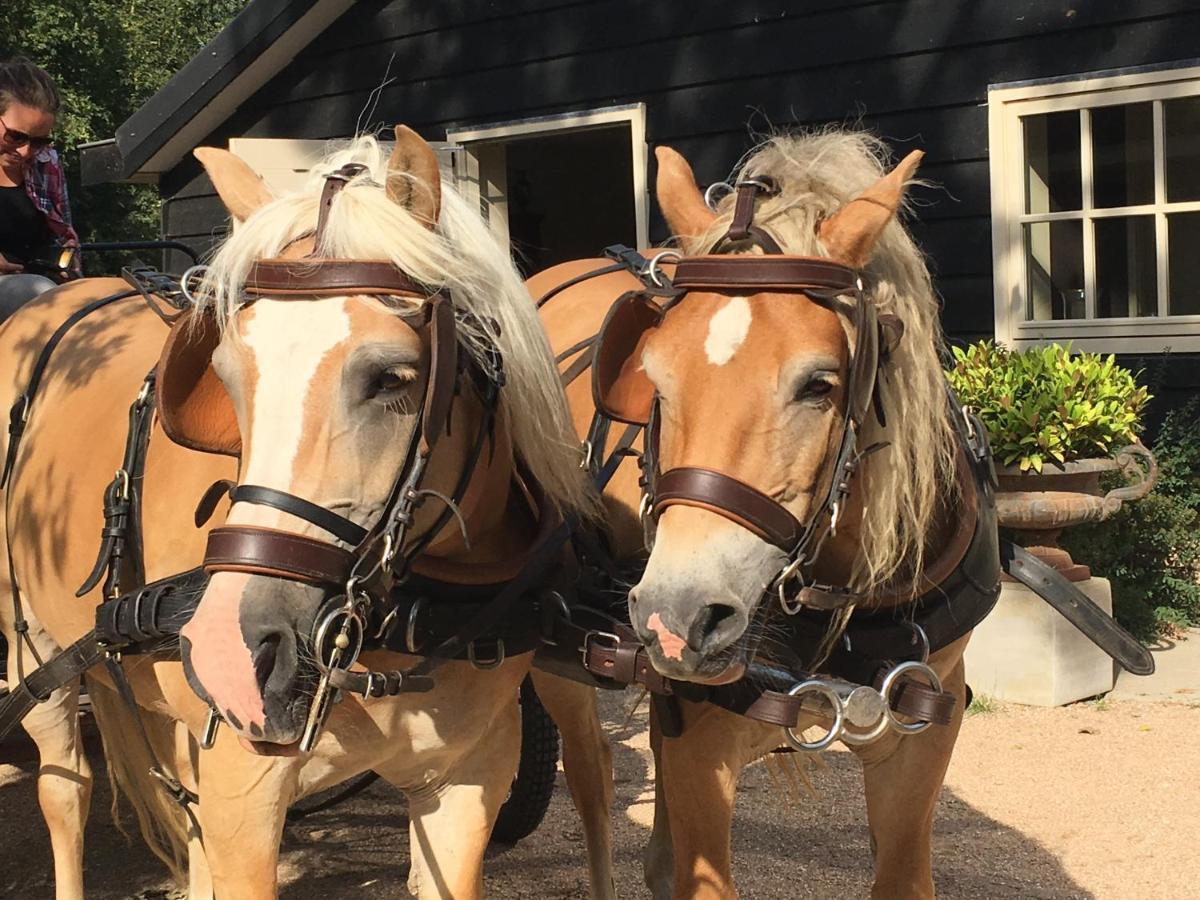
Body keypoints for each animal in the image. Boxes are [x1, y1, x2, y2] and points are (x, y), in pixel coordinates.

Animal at [0, 128, 614, 900]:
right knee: (66, 789)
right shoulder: (243, 799)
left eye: (392, 377)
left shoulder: (466, 780)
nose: (230, 657)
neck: (405, 614)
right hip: (32, 646)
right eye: (226, 376)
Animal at [535, 128, 993, 900]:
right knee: (591, 775)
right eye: (653, 379)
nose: (676, 616)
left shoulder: (926, 732)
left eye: (819, 384)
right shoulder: (702, 740)